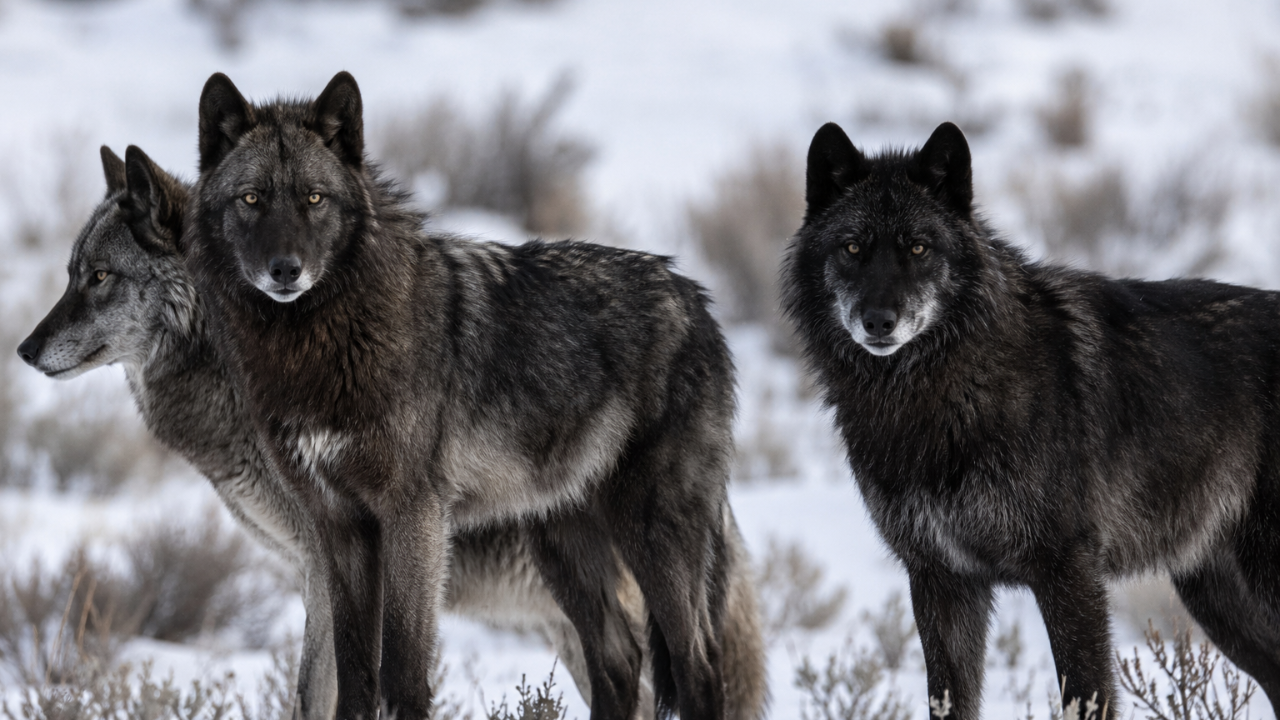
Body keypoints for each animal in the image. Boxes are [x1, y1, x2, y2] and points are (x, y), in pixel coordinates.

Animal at [186, 71, 742, 720]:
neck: (320, 341)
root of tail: (696, 299)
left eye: (314, 199)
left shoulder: (415, 516)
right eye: (251, 199)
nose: (285, 269)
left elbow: (403, 670)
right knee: (619, 659)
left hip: (651, 534)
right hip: (564, 550)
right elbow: (355, 674)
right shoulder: (339, 528)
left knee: (699, 665)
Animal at [782, 121, 1280, 718]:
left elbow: (1086, 695)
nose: (879, 321)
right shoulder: (941, 578)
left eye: (918, 248)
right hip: (1218, 597)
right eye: (852, 247)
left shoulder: (1067, 569)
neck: (938, 393)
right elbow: (948, 701)